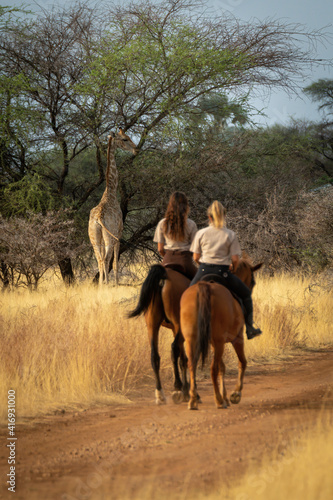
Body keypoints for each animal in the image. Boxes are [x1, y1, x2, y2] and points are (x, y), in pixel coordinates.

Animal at [88, 128, 137, 286]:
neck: (111, 192)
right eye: (125, 138)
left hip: (94, 238)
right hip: (109, 237)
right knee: (106, 259)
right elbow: (115, 261)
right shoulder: (119, 232)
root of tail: (98, 220)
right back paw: (108, 284)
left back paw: (101, 285)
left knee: (99, 260)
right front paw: (115, 283)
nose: (135, 149)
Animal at [127, 264, 189, 404]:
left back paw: (160, 394)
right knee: (174, 349)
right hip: (177, 324)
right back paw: (177, 388)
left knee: (155, 356)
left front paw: (187, 390)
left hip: (152, 325)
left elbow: (183, 359)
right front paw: (187, 390)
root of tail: (162, 275)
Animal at [179, 258, 262, 410]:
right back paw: (217, 400)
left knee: (192, 364)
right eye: (253, 282)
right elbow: (242, 362)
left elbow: (223, 368)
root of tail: (205, 287)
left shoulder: (215, 342)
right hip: (220, 342)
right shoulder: (237, 339)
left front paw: (226, 397)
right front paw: (235, 394)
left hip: (193, 340)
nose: (250, 288)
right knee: (213, 368)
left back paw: (193, 400)